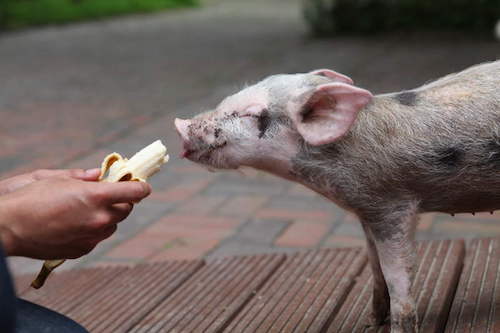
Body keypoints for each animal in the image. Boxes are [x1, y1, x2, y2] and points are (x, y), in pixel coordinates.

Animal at [175, 60, 500, 332]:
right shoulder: (366, 211)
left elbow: (397, 273)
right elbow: (375, 267)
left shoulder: (391, 205)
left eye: (252, 114)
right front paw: (370, 323)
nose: (180, 125)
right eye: (229, 100)